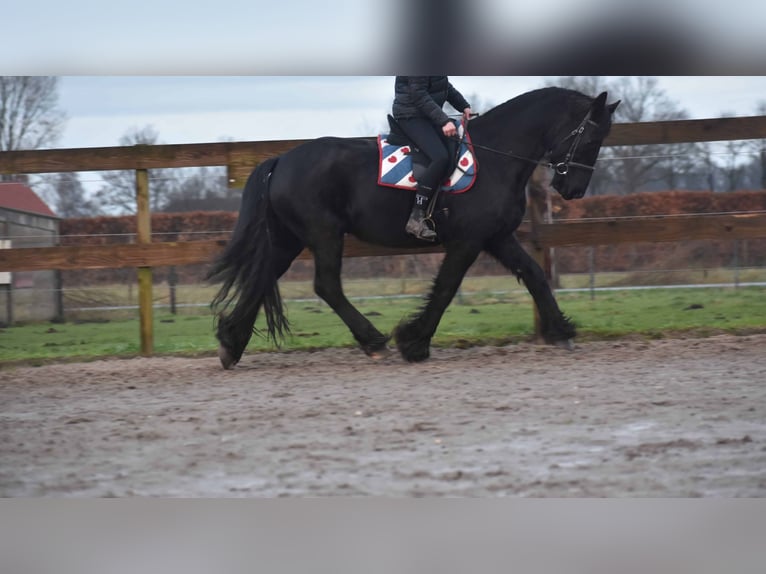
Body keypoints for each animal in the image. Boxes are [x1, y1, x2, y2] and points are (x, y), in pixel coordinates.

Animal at [208, 87, 620, 369]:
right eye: (590, 137)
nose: (573, 190)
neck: (495, 157)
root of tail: (280, 160)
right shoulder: (468, 241)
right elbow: (446, 289)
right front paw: (414, 342)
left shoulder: (497, 237)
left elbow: (533, 274)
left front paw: (561, 331)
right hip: (323, 234)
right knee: (326, 285)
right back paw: (373, 341)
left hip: (288, 240)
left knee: (262, 279)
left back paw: (231, 343)